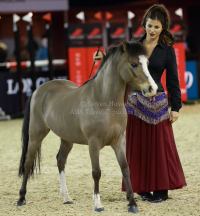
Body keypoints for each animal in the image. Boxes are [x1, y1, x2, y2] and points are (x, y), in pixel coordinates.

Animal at [16, 40, 158, 213]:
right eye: (134, 64)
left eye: (147, 63)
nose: (152, 89)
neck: (104, 101)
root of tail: (39, 90)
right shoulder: (94, 143)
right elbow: (96, 172)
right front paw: (98, 204)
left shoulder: (119, 141)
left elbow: (125, 168)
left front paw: (132, 204)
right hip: (36, 134)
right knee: (28, 162)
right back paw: (21, 198)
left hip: (67, 139)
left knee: (60, 160)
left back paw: (66, 198)